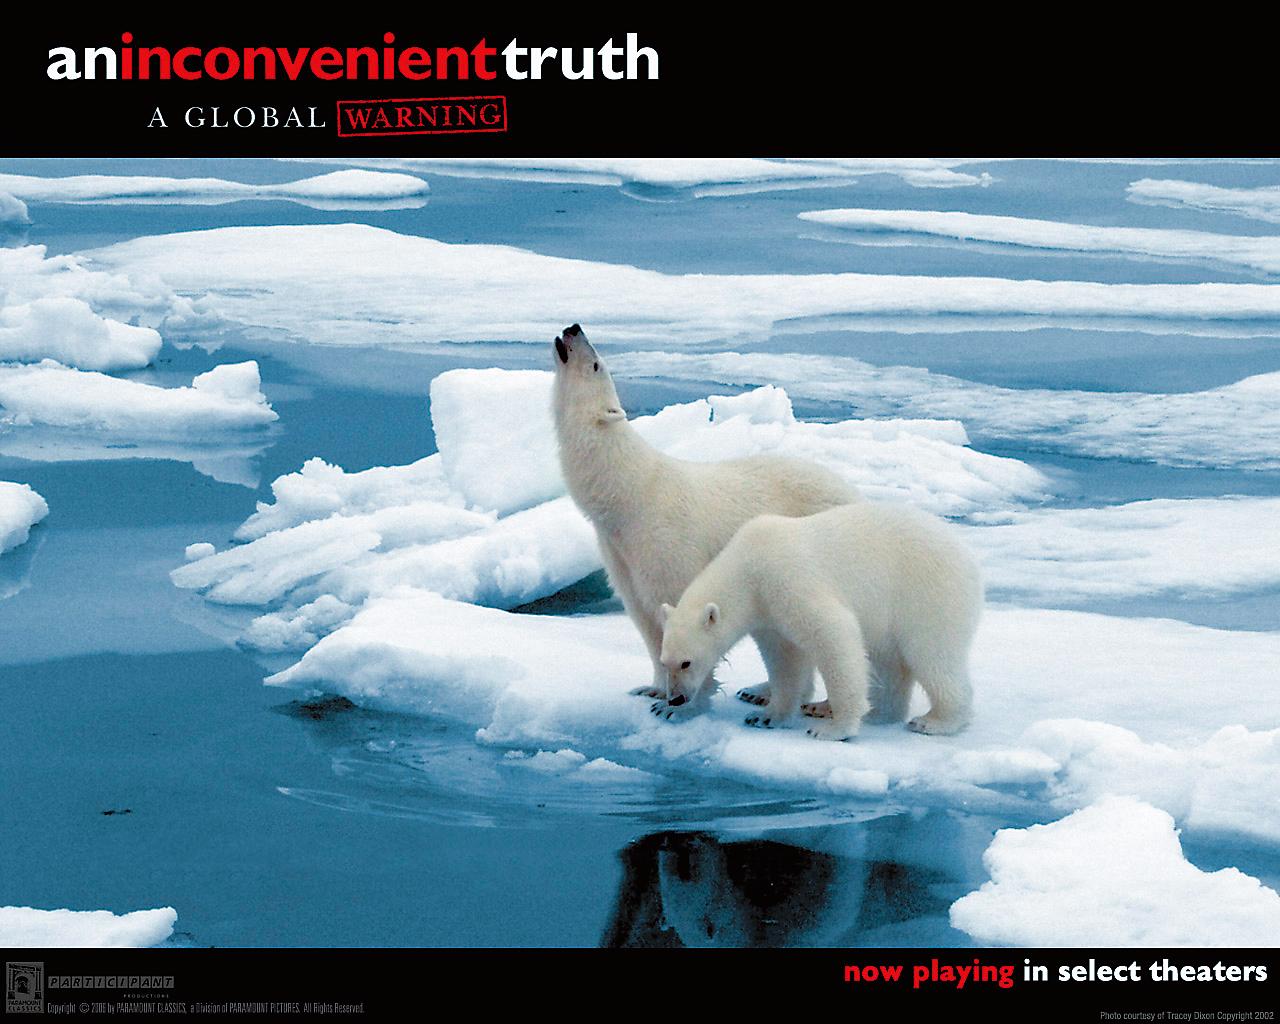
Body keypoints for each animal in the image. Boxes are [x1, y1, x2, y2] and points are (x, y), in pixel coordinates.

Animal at [551, 323, 860, 716]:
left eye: (595, 364)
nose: (573, 328)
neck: (630, 492)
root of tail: (854, 493)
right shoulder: (620, 554)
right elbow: (645, 618)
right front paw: (652, 689)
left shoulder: (666, 542)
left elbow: (685, 610)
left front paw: (682, 703)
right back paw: (761, 691)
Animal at [658, 501, 983, 740]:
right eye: (664, 662)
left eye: (686, 662)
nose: (675, 699)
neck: (747, 570)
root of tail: (967, 556)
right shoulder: (767, 613)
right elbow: (785, 659)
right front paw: (766, 716)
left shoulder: (787, 580)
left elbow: (834, 634)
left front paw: (833, 729)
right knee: (889, 662)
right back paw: (880, 712)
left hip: (927, 593)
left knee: (932, 653)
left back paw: (934, 722)